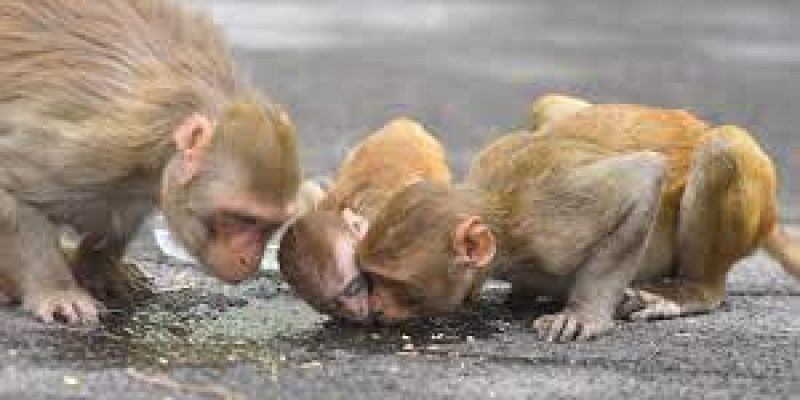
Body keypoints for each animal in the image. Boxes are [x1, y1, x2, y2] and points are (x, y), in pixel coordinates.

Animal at [0, 0, 300, 324]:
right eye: (244, 218)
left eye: (269, 225)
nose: (251, 261)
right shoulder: (89, 150)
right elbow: (11, 191)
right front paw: (58, 290)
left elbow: (122, 216)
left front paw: (100, 268)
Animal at [357, 94, 800, 341]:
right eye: (370, 277)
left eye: (393, 283)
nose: (374, 309)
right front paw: (521, 294)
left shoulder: (544, 224)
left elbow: (643, 177)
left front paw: (583, 315)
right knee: (549, 104)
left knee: (724, 146)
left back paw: (694, 290)